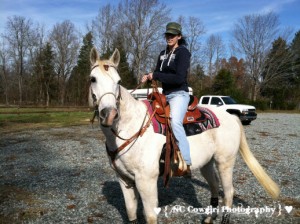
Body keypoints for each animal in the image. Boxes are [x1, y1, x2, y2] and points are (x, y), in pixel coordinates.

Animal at [88, 48, 280, 223]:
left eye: (118, 81)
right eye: (93, 79)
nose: (109, 114)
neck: (132, 126)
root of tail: (232, 116)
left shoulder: (146, 182)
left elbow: (150, 216)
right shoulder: (124, 180)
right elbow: (130, 213)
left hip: (225, 162)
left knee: (228, 192)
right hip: (207, 164)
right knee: (214, 186)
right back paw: (209, 218)